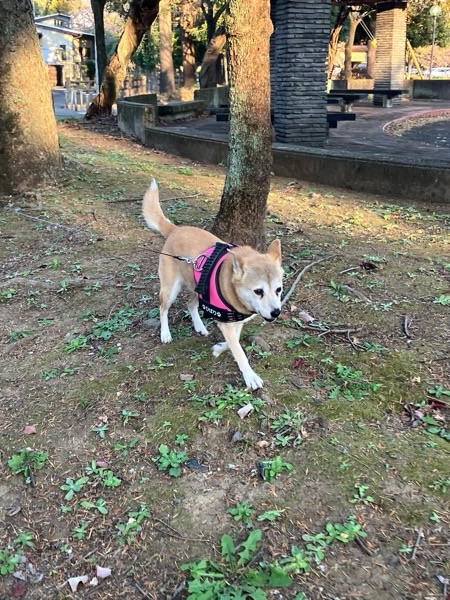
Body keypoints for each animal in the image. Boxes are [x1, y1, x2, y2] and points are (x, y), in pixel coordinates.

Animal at [142, 180, 283, 390]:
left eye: (278, 289)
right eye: (258, 291)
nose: (276, 312)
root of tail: (176, 229)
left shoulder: (235, 320)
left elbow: (234, 341)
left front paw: (219, 348)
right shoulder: (228, 321)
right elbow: (239, 350)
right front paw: (250, 376)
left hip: (199, 288)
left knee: (190, 304)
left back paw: (199, 326)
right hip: (170, 290)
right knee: (163, 309)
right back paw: (165, 333)